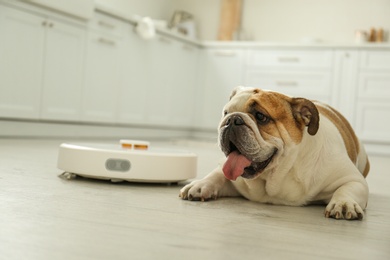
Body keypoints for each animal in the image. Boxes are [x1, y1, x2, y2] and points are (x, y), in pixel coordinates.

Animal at [180, 87, 368, 219]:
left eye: (260, 116)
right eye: (226, 113)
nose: (232, 119)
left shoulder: (353, 179)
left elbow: (347, 188)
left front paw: (344, 203)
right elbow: (218, 174)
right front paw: (200, 185)